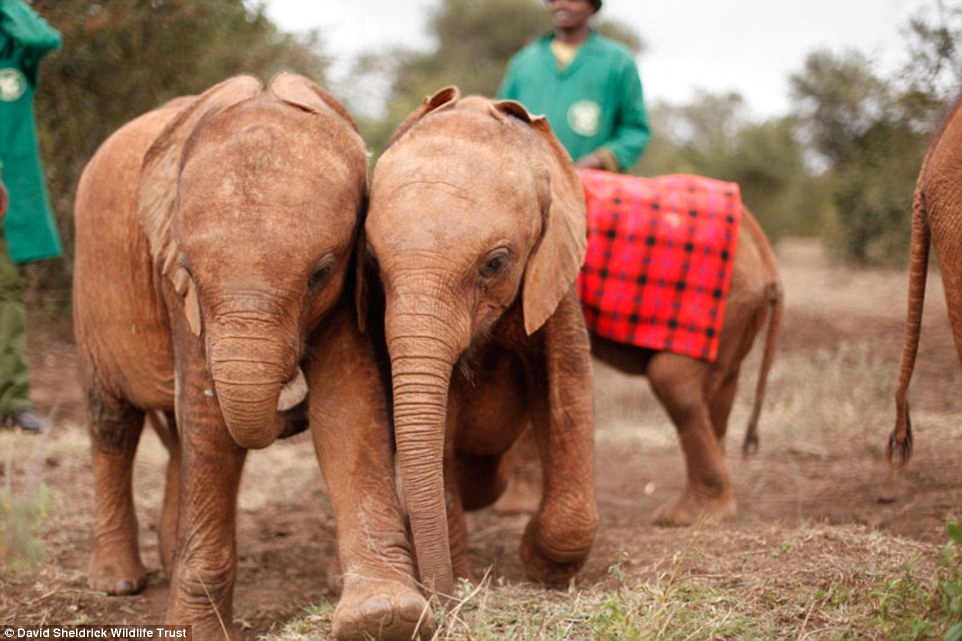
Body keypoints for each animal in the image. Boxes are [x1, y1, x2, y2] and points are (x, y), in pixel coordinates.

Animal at [77, 74, 430, 640]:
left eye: (320, 273)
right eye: (187, 269)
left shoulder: (349, 283)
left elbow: (348, 403)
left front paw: (384, 617)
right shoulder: (180, 295)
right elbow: (208, 418)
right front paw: (194, 631)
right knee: (113, 422)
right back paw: (117, 582)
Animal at [362, 86, 600, 596]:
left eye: (494, 264)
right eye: (370, 260)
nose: (440, 597)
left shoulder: (554, 285)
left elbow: (567, 394)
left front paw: (539, 566)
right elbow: (438, 436)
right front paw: (466, 582)